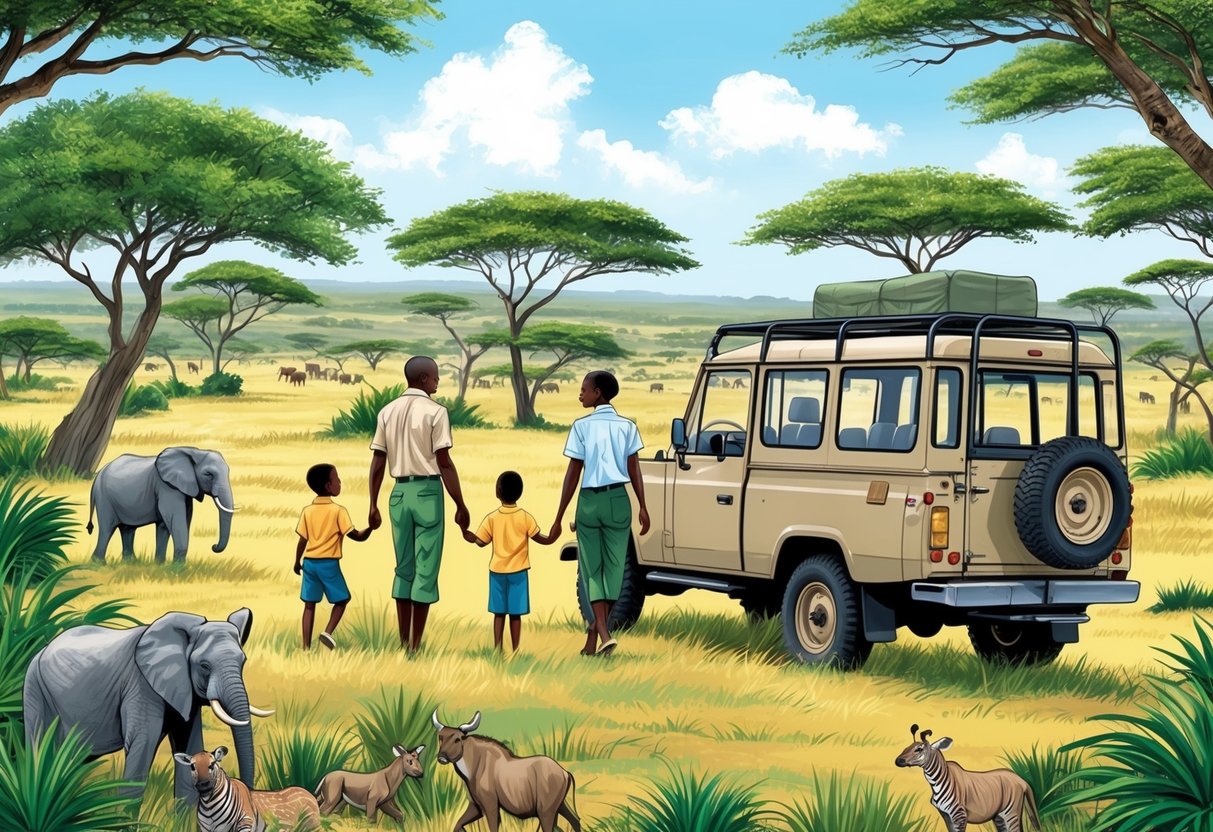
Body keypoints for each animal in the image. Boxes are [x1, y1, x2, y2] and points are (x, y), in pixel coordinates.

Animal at [22, 608, 272, 810]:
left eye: (243, 662)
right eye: (204, 666)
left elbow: (189, 744)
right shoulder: (140, 685)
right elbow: (143, 743)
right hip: (35, 688)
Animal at [87, 446, 234, 562]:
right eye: (208, 474)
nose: (213, 546)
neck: (194, 451)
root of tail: (98, 476)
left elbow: (167, 524)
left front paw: (160, 564)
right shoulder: (166, 487)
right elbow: (175, 520)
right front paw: (177, 568)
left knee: (127, 529)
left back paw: (130, 562)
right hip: (104, 498)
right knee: (107, 528)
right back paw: (99, 563)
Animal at [175, 751, 320, 832]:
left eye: (212, 765)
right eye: (192, 766)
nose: (203, 785)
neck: (209, 806)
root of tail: (309, 794)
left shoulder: (246, 822)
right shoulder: (206, 829)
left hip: (312, 826)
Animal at [892, 722, 1043, 832]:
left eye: (919, 749)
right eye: (907, 747)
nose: (898, 761)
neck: (937, 782)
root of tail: (1022, 780)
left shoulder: (959, 815)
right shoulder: (946, 816)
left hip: (1010, 812)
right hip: (999, 816)